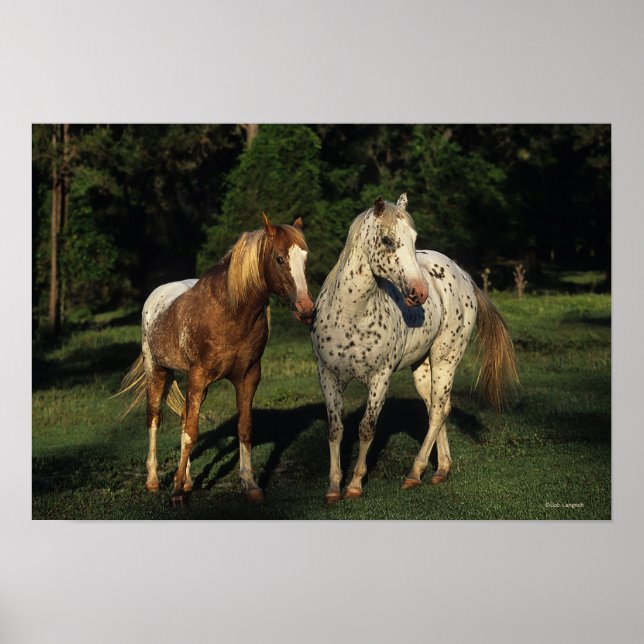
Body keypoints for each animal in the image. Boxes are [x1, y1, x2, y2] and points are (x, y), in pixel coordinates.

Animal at [116, 214, 314, 504]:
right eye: (279, 258)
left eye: (305, 258)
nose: (306, 308)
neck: (231, 311)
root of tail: (153, 299)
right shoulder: (198, 377)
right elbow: (190, 433)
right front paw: (176, 492)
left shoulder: (248, 376)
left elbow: (243, 428)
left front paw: (250, 484)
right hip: (158, 370)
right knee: (154, 419)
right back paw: (153, 480)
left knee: (184, 417)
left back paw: (186, 479)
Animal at [311, 194, 518, 504]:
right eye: (387, 240)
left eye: (414, 238)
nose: (419, 292)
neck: (351, 314)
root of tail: (462, 274)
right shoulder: (327, 376)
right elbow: (335, 430)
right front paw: (334, 488)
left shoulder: (380, 379)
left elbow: (366, 428)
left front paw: (355, 484)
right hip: (423, 368)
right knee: (437, 408)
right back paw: (441, 469)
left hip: (445, 360)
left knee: (438, 412)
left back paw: (415, 473)